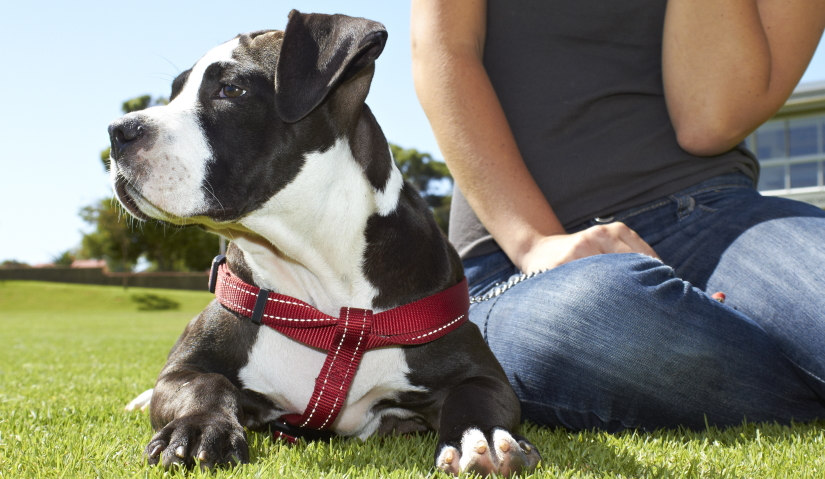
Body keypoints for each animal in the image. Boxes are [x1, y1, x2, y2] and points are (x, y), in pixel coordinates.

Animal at [109, 10, 540, 476]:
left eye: (231, 89)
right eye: (175, 93)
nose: (118, 130)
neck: (320, 287)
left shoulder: (481, 372)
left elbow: (474, 394)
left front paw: (480, 438)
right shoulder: (184, 368)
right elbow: (204, 384)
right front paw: (201, 428)